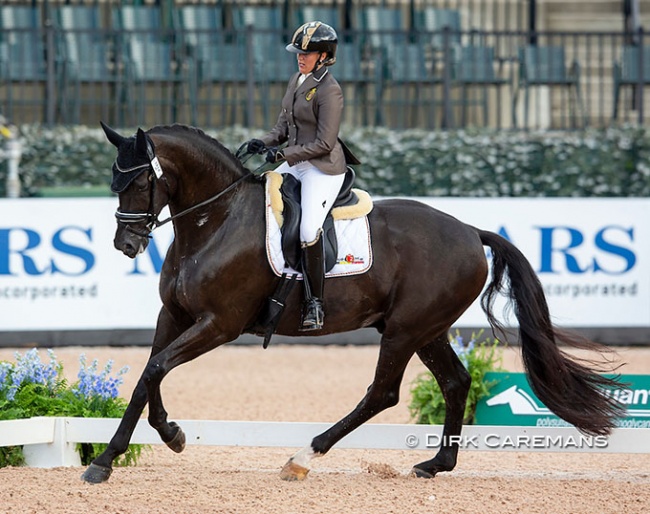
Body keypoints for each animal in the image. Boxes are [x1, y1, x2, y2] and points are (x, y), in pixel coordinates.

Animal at [82, 122, 624, 482]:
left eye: (140, 181)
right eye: (113, 179)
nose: (126, 245)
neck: (216, 221)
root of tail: (471, 231)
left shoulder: (220, 324)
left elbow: (156, 368)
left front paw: (108, 459)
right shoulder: (174, 315)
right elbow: (150, 371)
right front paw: (160, 436)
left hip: (406, 330)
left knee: (383, 392)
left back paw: (304, 456)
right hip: (424, 329)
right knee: (455, 381)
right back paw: (436, 464)